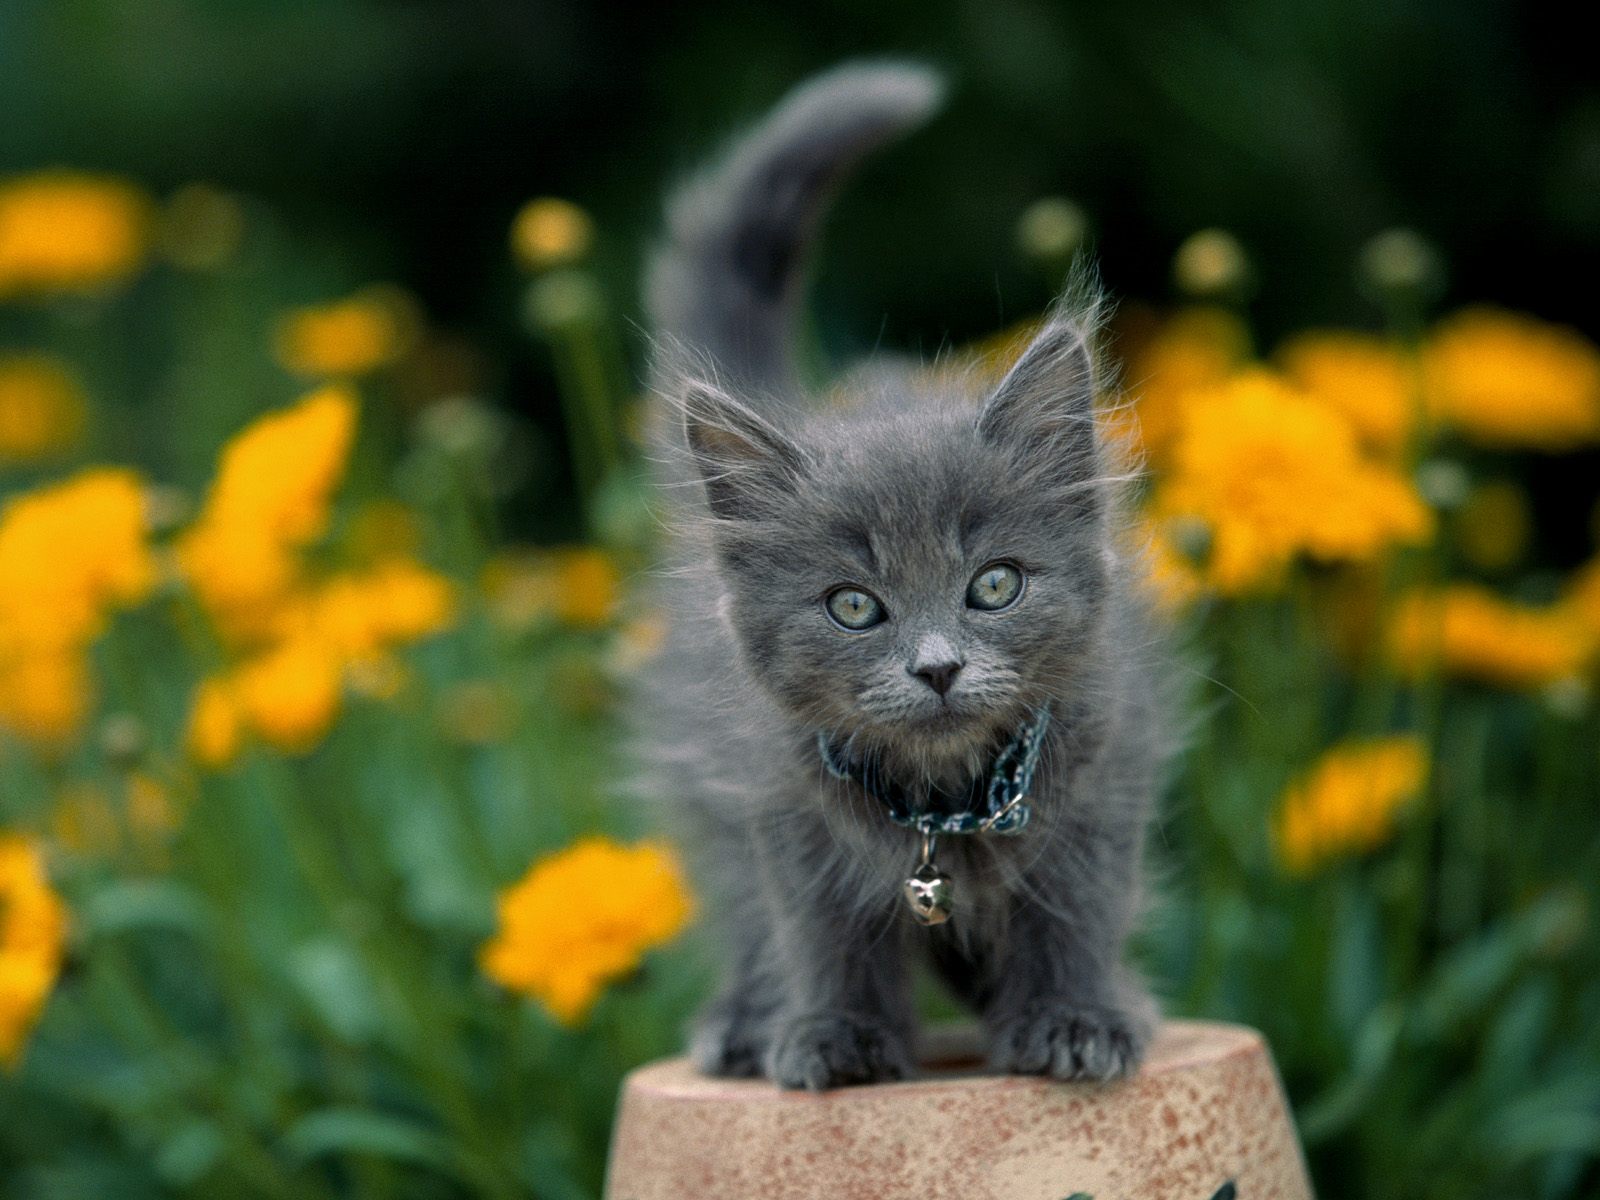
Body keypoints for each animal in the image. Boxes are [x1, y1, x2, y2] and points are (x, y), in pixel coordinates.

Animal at [636, 65, 1177, 1100]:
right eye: (854, 606)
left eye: (996, 587)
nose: (937, 668)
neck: (943, 800)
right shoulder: (782, 804)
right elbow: (822, 934)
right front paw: (833, 1035)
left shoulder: (1101, 779)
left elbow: (1076, 918)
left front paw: (1076, 1019)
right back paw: (744, 1023)